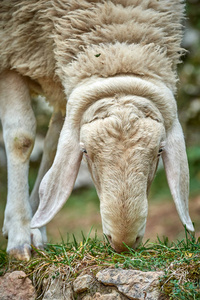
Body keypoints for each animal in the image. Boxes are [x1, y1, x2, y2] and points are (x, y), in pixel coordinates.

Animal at [0, 0, 194, 260]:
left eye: (160, 151)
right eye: (85, 152)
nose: (123, 242)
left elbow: (53, 147)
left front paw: (36, 227)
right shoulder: (11, 51)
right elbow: (21, 138)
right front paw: (19, 234)